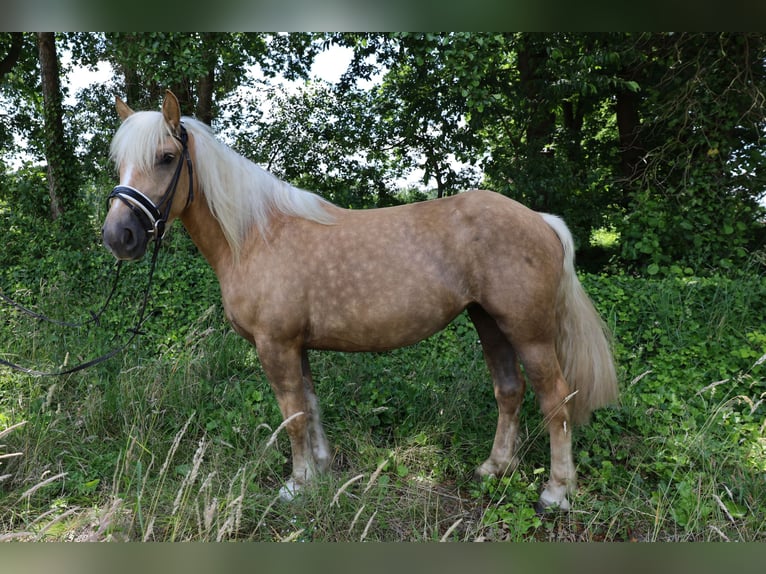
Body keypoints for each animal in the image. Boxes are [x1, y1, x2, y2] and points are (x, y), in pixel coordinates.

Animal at [102, 90, 620, 512]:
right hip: (489, 322)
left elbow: (292, 415)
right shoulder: (296, 346)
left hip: (529, 333)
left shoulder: (275, 345)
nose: (118, 236)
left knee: (556, 401)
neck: (256, 236)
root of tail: (540, 219)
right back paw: (494, 468)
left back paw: (555, 493)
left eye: (166, 157)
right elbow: (310, 405)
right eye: (119, 163)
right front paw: (319, 470)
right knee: (509, 391)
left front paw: (296, 484)